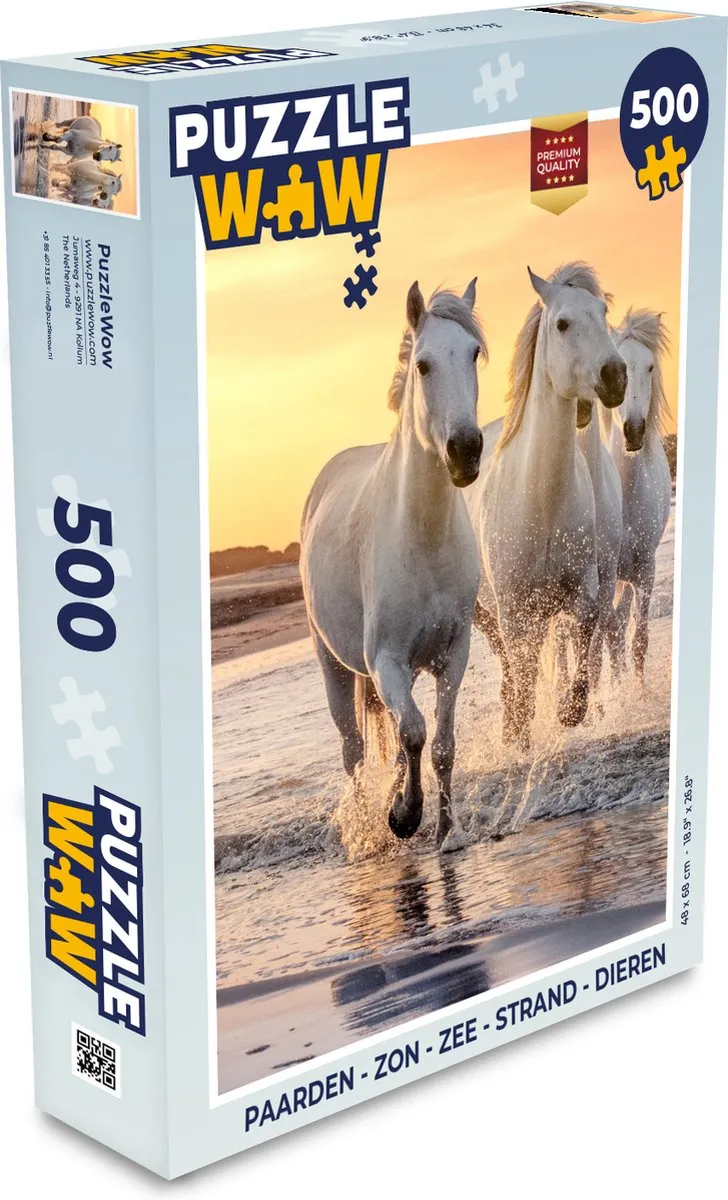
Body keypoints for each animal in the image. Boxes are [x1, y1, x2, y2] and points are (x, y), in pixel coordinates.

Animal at [301, 280, 486, 851]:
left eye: (474, 353)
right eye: (423, 365)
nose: (466, 450)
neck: (422, 540)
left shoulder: (453, 654)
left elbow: (441, 743)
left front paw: (445, 830)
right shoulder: (387, 662)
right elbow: (414, 732)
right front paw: (404, 816)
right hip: (334, 665)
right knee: (354, 751)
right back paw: (368, 827)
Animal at [465, 262, 626, 750]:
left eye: (603, 312)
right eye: (563, 324)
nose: (616, 376)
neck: (541, 503)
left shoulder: (583, 591)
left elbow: (586, 635)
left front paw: (571, 711)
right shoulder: (515, 611)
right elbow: (523, 669)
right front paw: (520, 731)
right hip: (486, 613)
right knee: (510, 664)